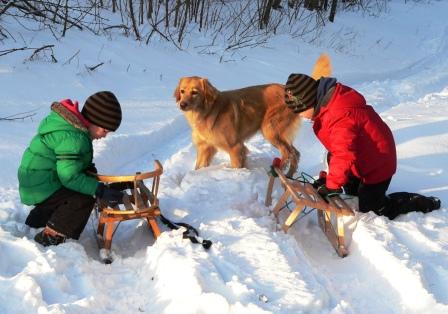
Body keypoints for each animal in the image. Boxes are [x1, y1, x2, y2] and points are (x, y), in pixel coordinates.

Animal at [175, 53, 332, 174]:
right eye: (182, 91)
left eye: (195, 92)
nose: (182, 104)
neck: (207, 112)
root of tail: (288, 91)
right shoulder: (205, 148)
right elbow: (198, 167)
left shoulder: (236, 147)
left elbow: (236, 166)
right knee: (295, 153)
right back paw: (289, 176)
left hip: (270, 130)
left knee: (288, 153)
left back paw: (277, 172)